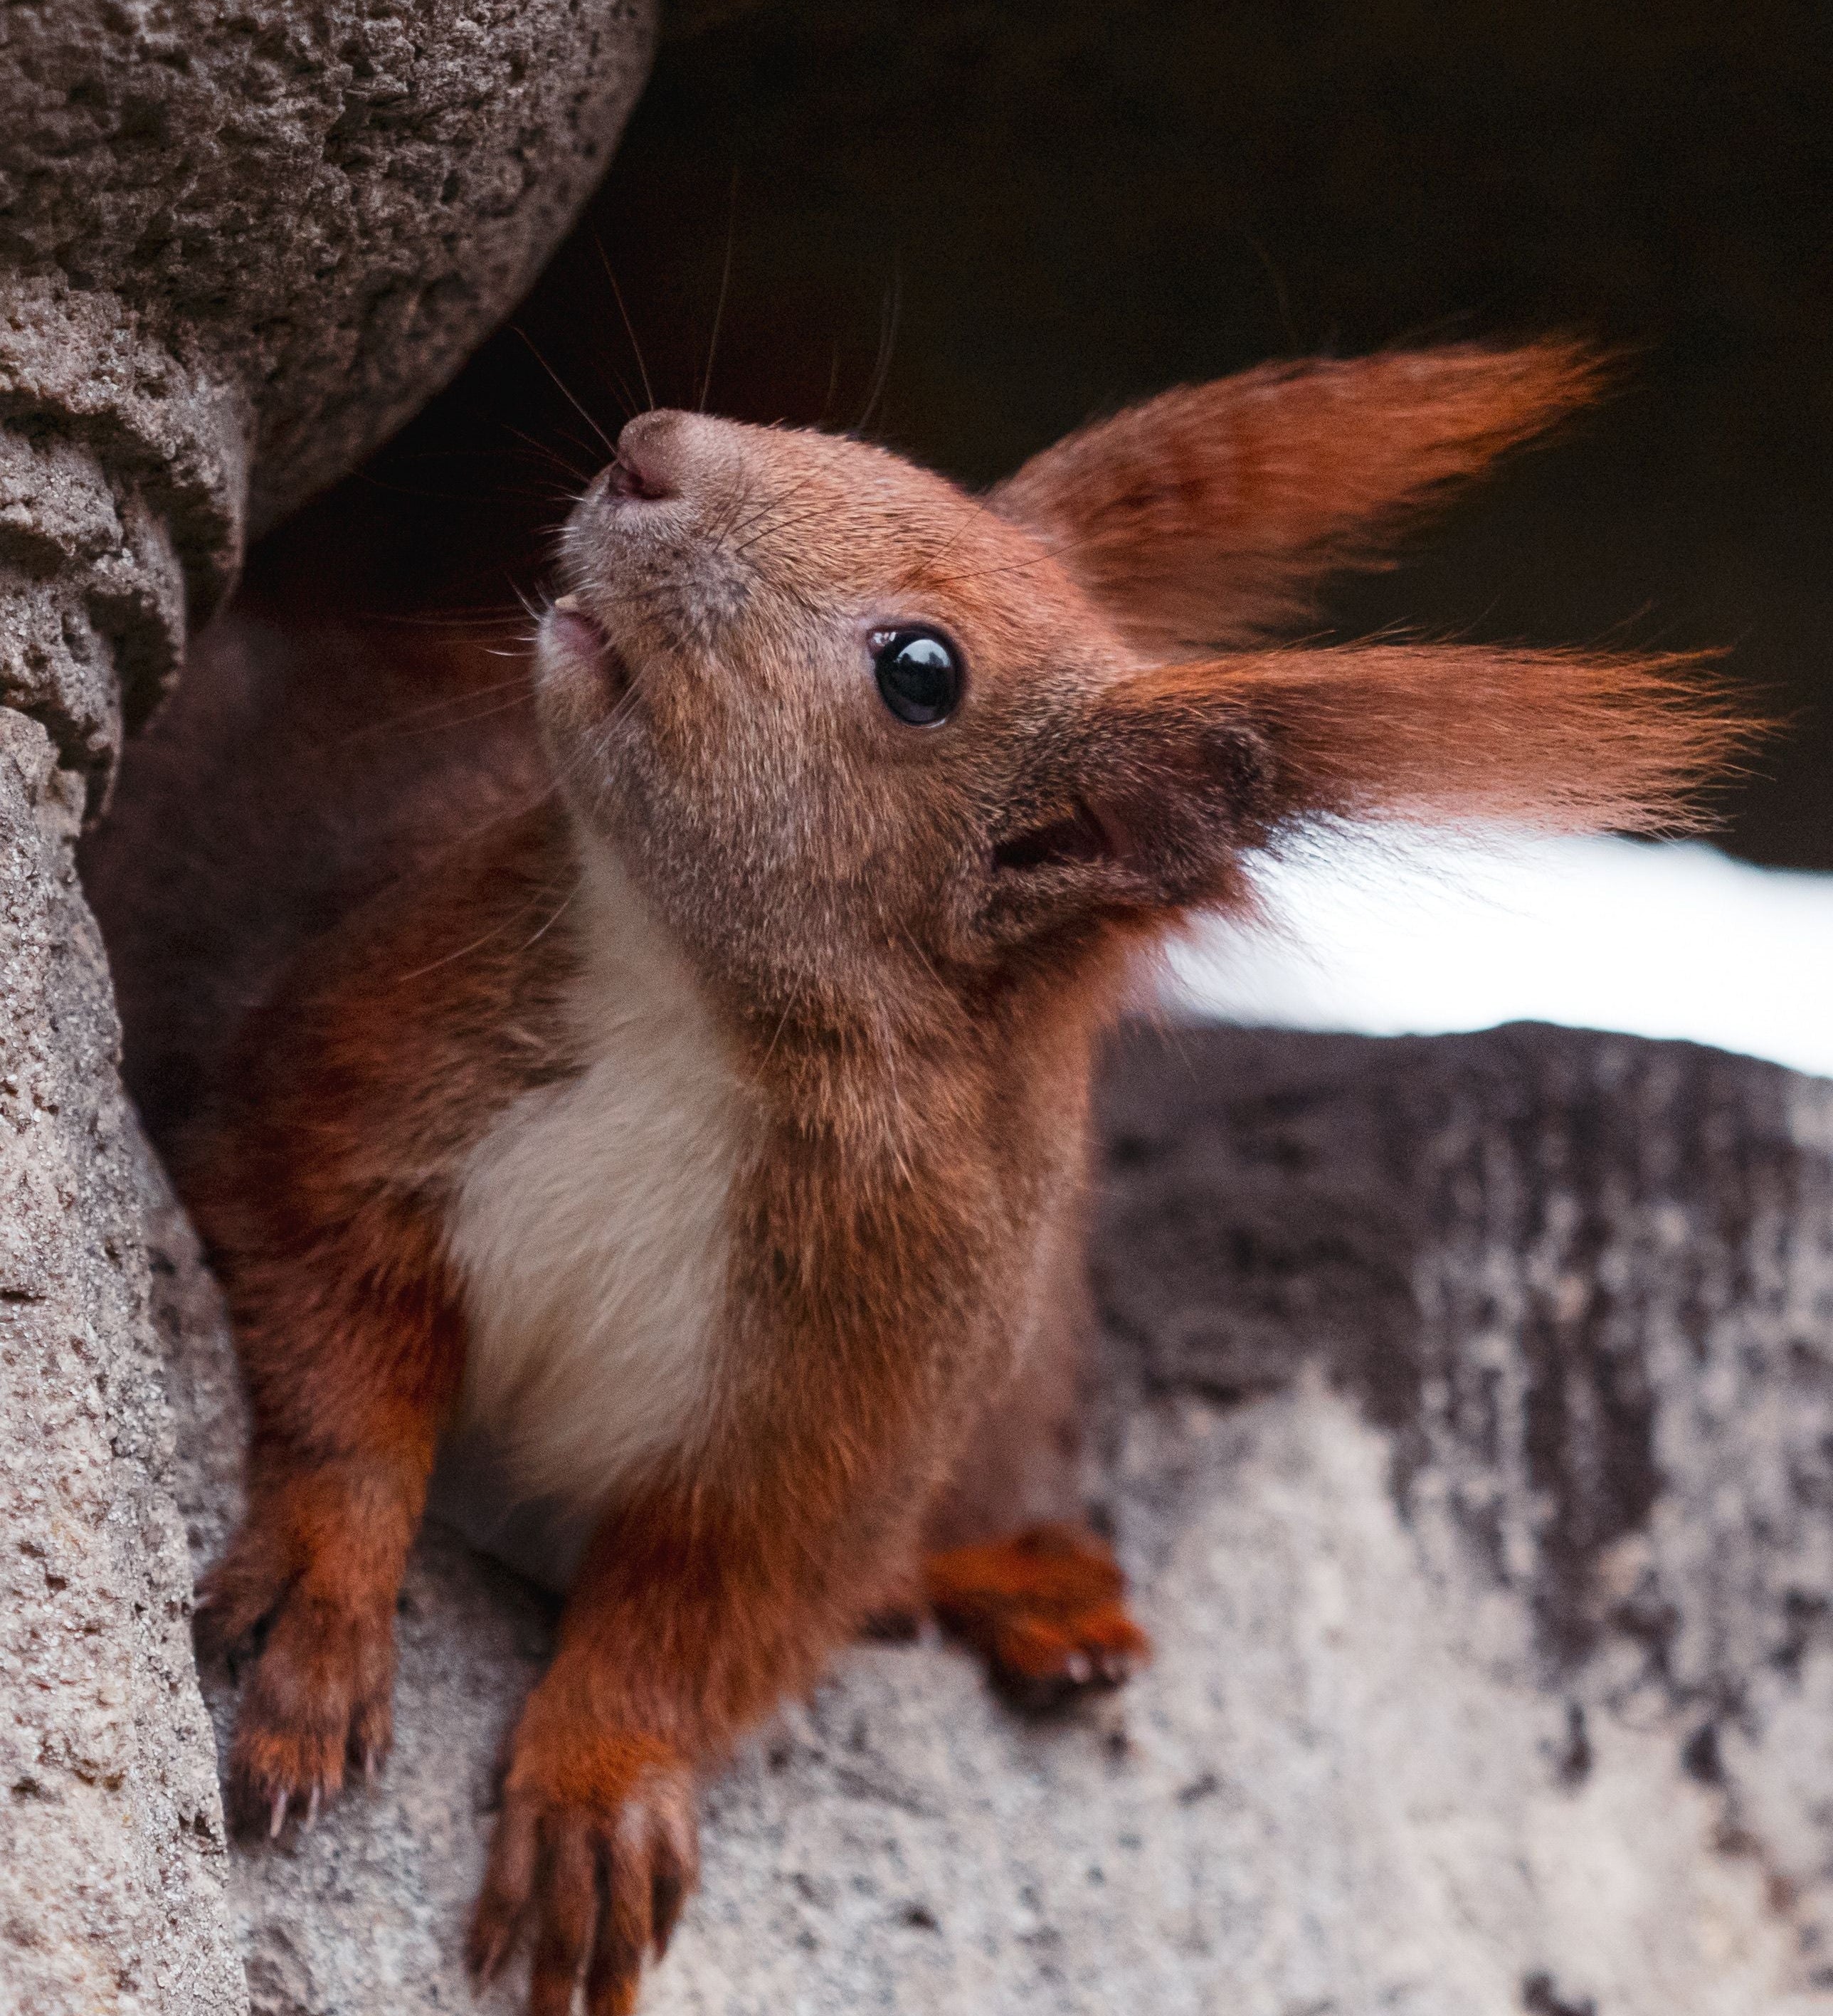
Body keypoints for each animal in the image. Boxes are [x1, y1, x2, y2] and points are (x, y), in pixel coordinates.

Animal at [87, 342, 1743, 2014]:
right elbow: (337, 1350)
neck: (693, 1014)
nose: (650, 450)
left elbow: (715, 1611)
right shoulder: (349, 1085)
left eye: (921, 672)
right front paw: (324, 1603)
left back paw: (1030, 1595)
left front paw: (601, 1788)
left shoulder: (859, 1392)